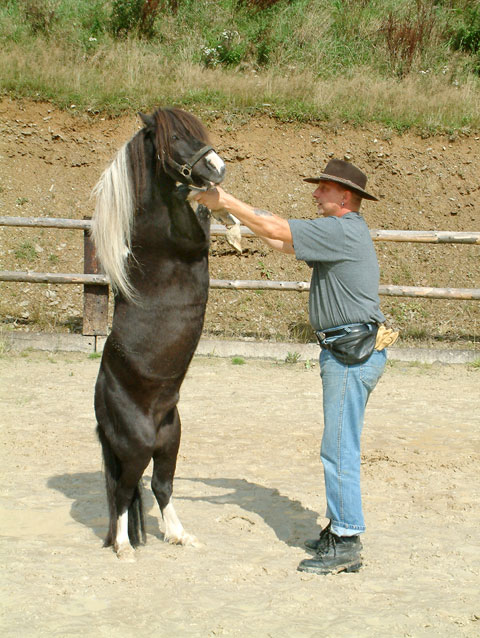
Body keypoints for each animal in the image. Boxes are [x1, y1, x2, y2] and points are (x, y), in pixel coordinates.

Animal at [92, 107, 227, 564]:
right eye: (175, 140)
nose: (217, 168)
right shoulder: (188, 241)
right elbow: (197, 215)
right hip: (135, 446)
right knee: (122, 490)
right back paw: (122, 547)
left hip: (170, 438)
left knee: (159, 484)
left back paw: (179, 535)